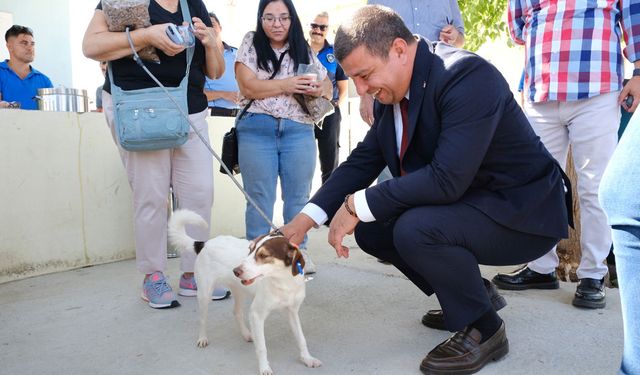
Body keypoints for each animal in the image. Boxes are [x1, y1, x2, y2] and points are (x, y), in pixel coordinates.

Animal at [169, 210, 322, 375]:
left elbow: (301, 339)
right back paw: (202, 338)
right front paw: (264, 367)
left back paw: (247, 334)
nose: (235, 271)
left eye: (263, 255)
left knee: (236, 312)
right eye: (250, 250)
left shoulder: (292, 312)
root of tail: (205, 243)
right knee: (203, 319)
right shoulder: (256, 314)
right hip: (204, 293)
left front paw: (307, 358)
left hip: (239, 291)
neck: (282, 283)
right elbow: (262, 347)